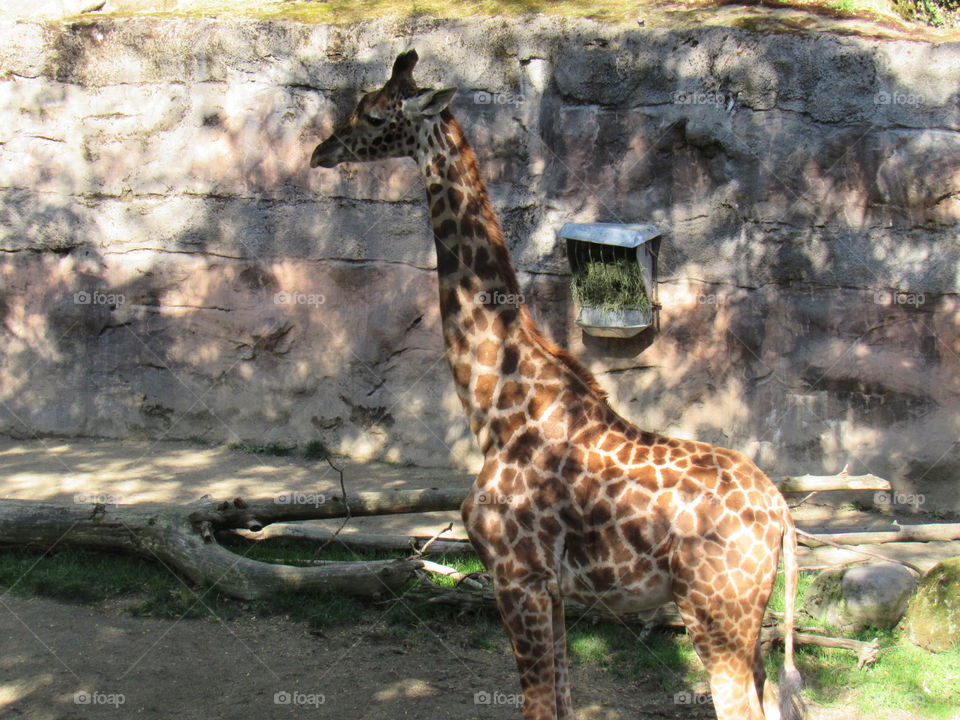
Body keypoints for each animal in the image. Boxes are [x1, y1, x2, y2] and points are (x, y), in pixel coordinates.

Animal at [310, 49, 804, 720]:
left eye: (375, 113)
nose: (321, 150)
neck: (494, 406)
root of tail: (781, 517)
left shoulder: (515, 575)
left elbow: (538, 705)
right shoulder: (555, 591)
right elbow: (562, 702)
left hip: (716, 615)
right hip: (745, 624)